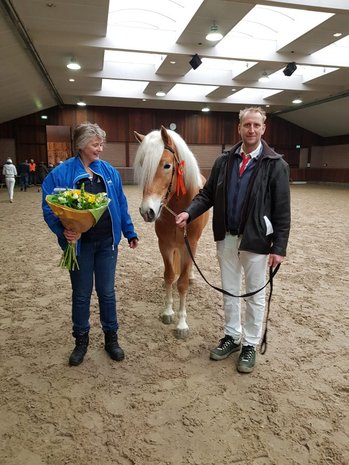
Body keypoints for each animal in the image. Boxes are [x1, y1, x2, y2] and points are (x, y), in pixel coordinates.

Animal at [133, 127, 209, 338]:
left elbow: (182, 284)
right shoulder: (165, 244)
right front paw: (168, 312)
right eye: (143, 164)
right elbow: (168, 276)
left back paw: (190, 276)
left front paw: (182, 324)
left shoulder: (189, 245)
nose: (147, 211)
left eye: (167, 165)